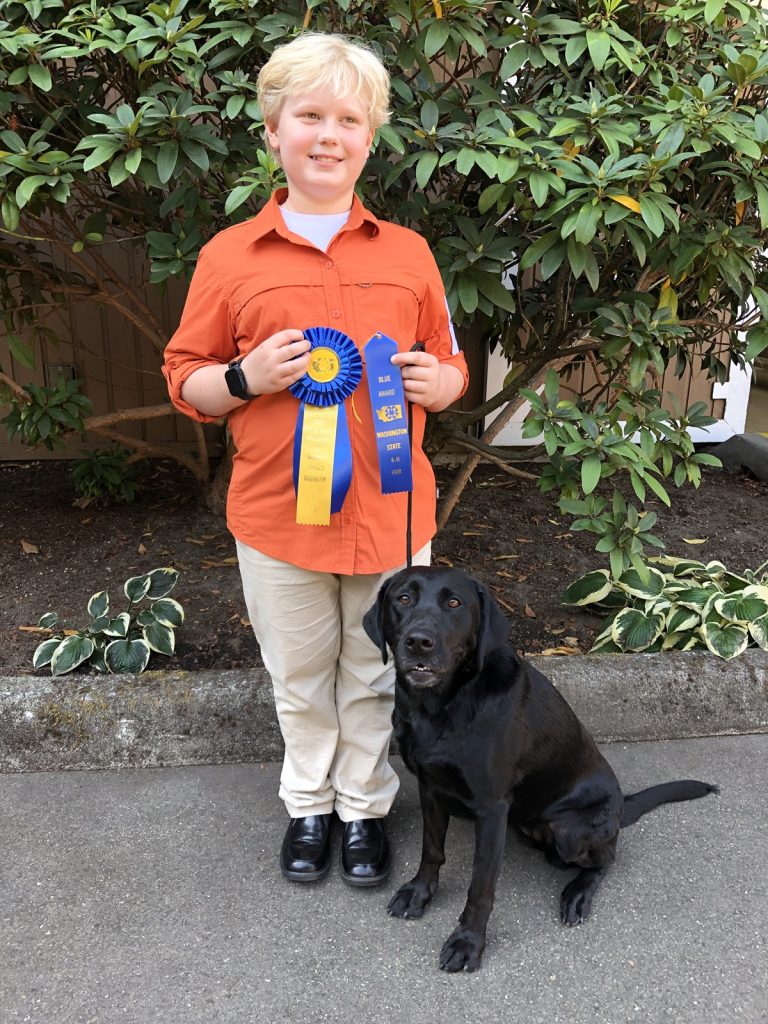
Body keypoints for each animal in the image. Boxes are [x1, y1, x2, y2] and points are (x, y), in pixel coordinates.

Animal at [364, 565, 720, 970]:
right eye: (403, 599)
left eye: (454, 603)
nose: (418, 641)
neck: (441, 706)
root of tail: (620, 806)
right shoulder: (431, 788)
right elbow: (431, 851)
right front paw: (419, 894)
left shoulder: (491, 808)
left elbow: (481, 886)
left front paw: (468, 941)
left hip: (570, 829)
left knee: (607, 858)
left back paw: (577, 894)